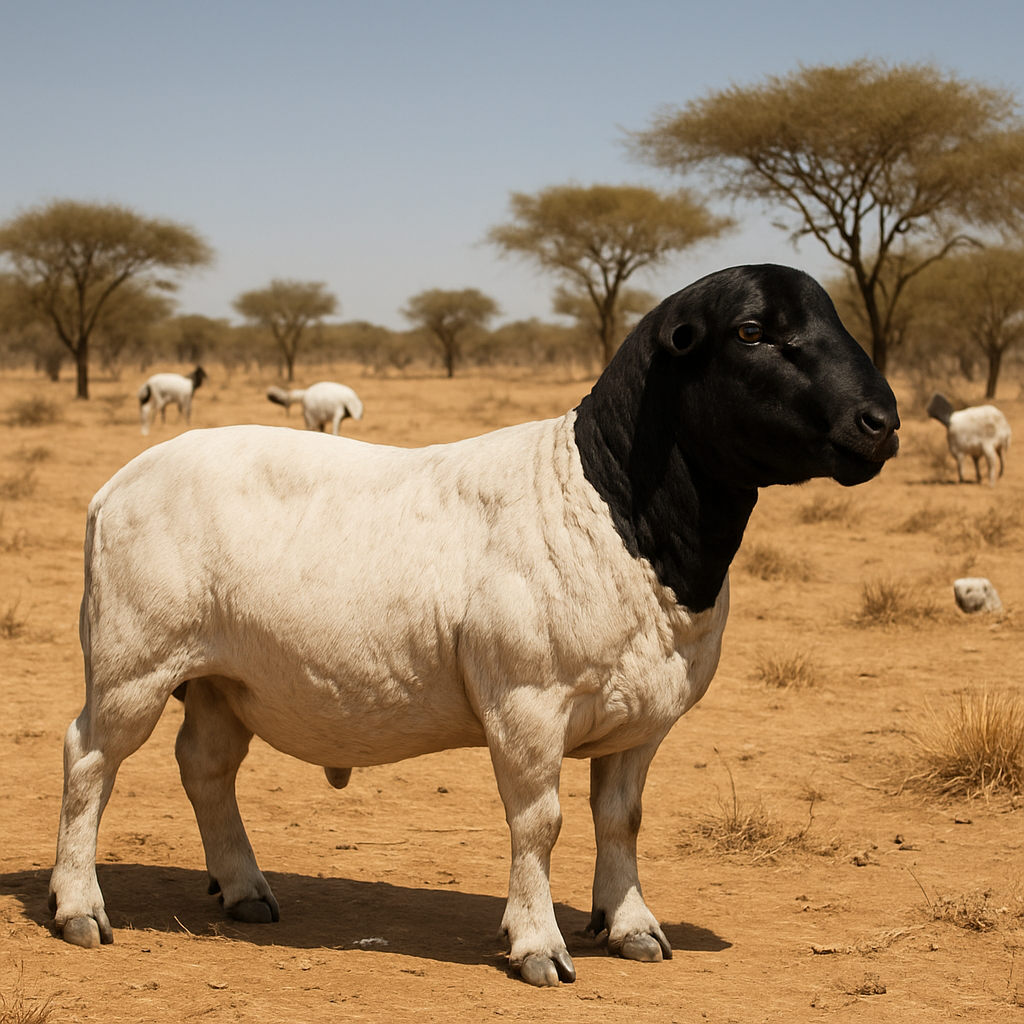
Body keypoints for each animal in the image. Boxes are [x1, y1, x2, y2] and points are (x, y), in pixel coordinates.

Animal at [50, 265, 899, 986]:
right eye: (753, 331)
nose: (880, 421)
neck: (613, 503)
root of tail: (119, 482)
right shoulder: (526, 703)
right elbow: (539, 823)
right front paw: (537, 943)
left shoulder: (642, 720)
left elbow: (621, 821)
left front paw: (630, 925)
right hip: (133, 663)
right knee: (89, 760)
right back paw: (78, 905)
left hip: (223, 678)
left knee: (206, 768)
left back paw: (244, 888)